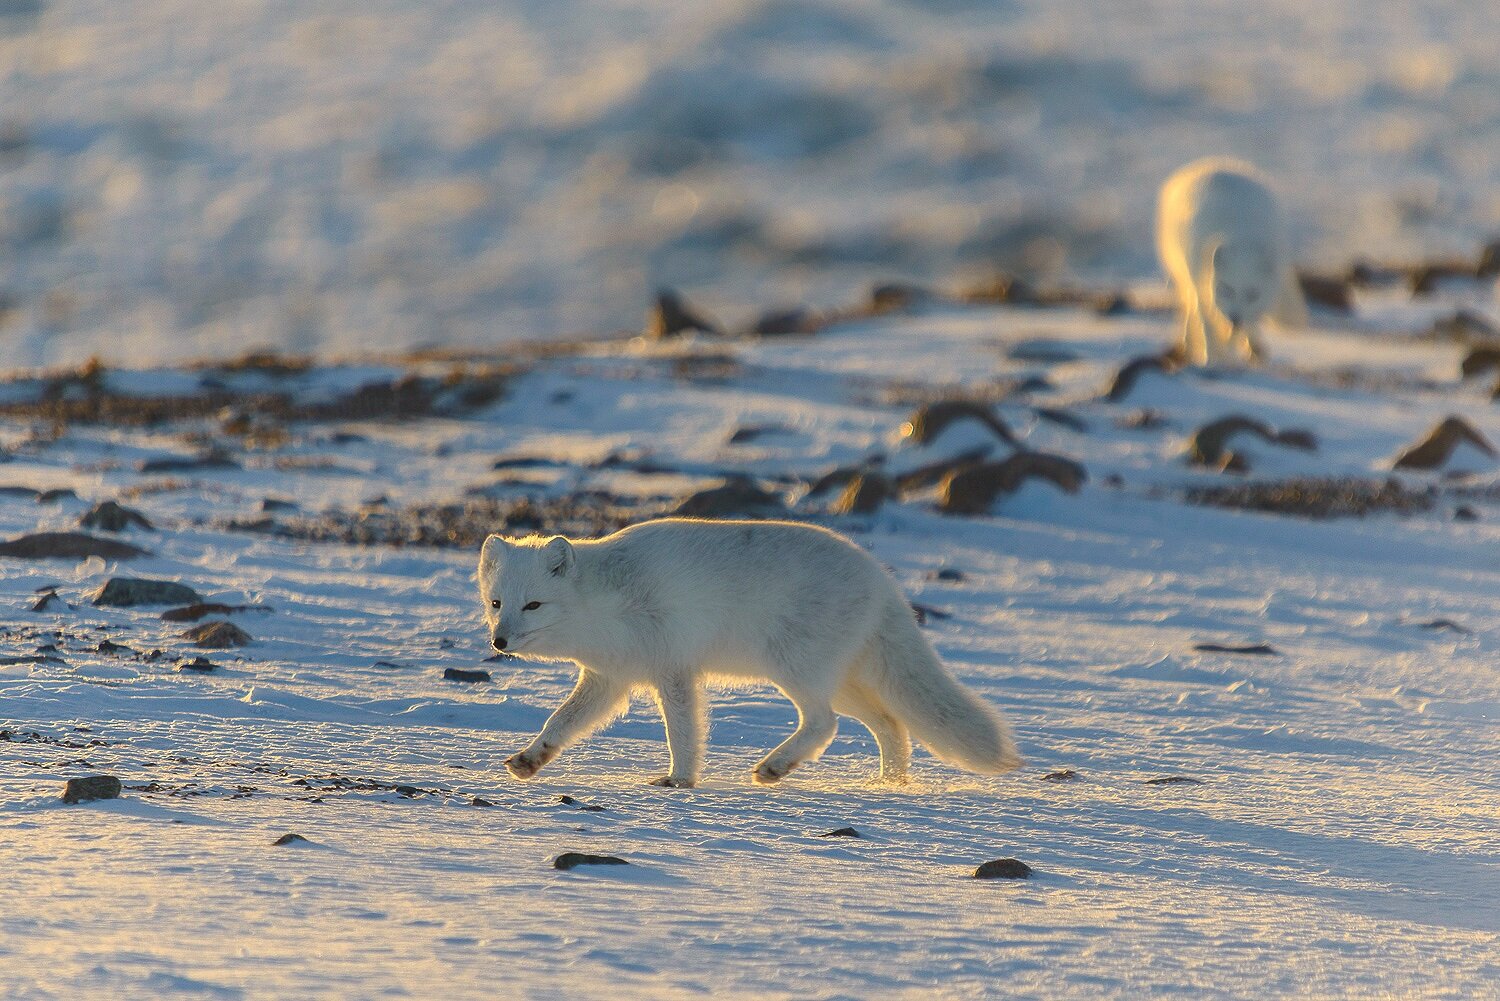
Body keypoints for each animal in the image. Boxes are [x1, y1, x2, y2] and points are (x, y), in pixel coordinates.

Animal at [474, 522, 1026, 786]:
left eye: (534, 604)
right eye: (497, 602)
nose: (499, 642)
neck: (602, 604)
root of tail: (883, 579)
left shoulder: (673, 670)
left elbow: (683, 732)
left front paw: (679, 780)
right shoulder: (609, 678)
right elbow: (561, 722)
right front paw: (529, 761)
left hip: (796, 670)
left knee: (825, 724)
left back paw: (774, 768)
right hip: (845, 682)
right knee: (891, 725)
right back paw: (887, 784)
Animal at [1152, 159, 1308, 367]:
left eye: (1253, 294)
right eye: (1227, 289)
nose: (1236, 318)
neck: (1243, 237)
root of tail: (1213, 162)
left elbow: (1248, 324)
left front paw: (1245, 350)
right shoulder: (1202, 284)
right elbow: (1207, 324)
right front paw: (1213, 359)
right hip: (1183, 274)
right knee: (1189, 307)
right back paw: (1190, 342)